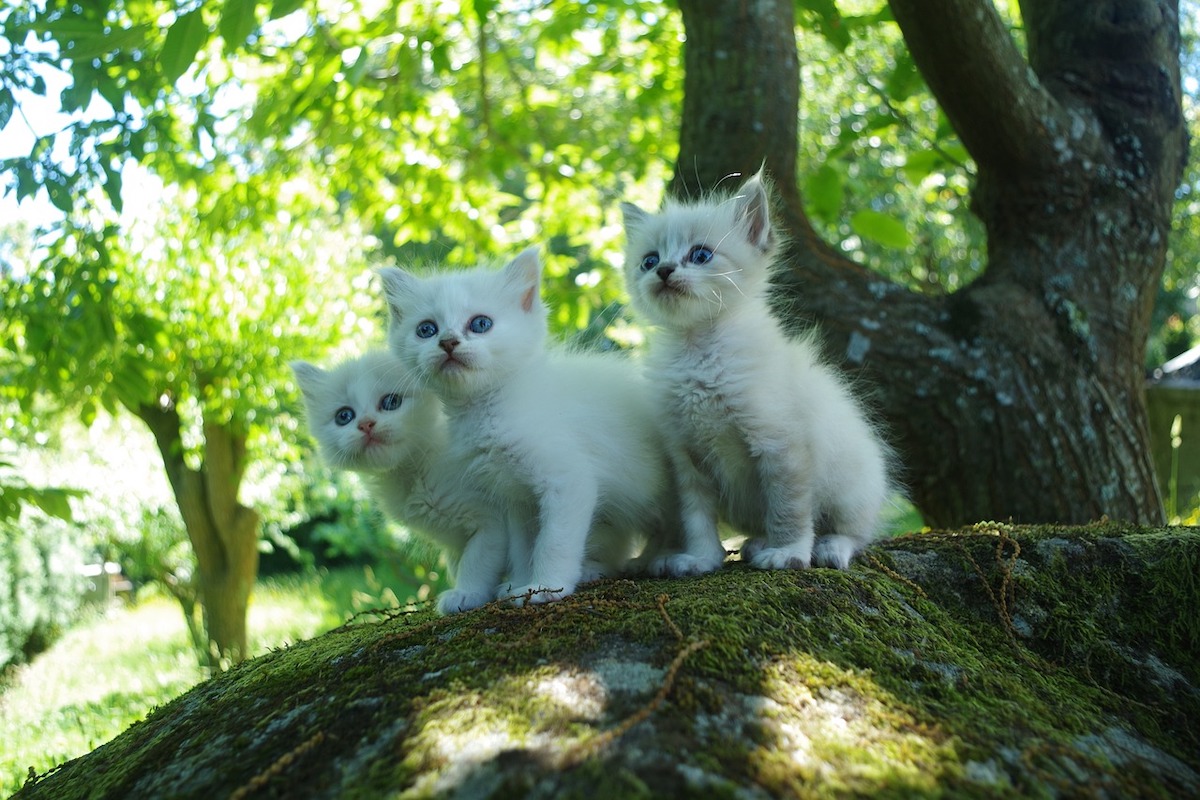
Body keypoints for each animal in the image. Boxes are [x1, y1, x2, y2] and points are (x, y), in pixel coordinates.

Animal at [295, 347, 516, 614]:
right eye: (344, 416)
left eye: (391, 402)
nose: (366, 424)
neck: (413, 473)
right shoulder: (456, 540)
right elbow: (458, 563)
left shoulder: (490, 521)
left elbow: (476, 561)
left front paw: (466, 594)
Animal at [374, 250, 676, 606]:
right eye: (426, 329)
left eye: (480, 324)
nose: (447, 342)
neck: (489, 410)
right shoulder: (516, 498)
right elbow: (523, 547)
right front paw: (518, 583)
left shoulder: (568, 481)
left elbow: (553, 542)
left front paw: (546, 587)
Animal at [619, 172, 892, 573]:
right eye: (649, 260)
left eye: (701, 255)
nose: (664, 271)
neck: (699, 352)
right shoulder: (688, 458)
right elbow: (696, 517)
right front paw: (699, 559)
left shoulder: (781, 445)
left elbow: (788, 507)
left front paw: (788, 552)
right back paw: (757, 543)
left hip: (851, 485)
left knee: (857, 533)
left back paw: (828, 547)